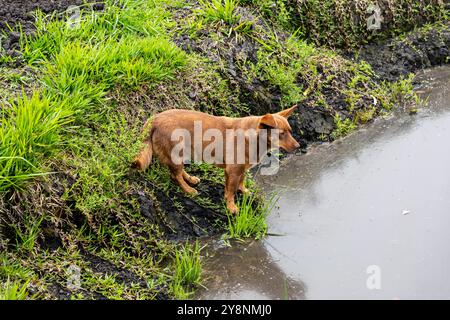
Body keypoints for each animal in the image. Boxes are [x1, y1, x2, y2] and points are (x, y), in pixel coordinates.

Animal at [134, 106, 298, 214]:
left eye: (290, 132)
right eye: (281, 134)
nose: (298, 146)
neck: (254, 137)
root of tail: (154, 118)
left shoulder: (241, 169)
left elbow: (241, 181)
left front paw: (243, 190)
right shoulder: (232, 171)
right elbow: (230, 191)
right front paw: (231, 207)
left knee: (178, 172)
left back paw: (190, 179)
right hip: (176, 153)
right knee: (175, 175)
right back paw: (188, 189)